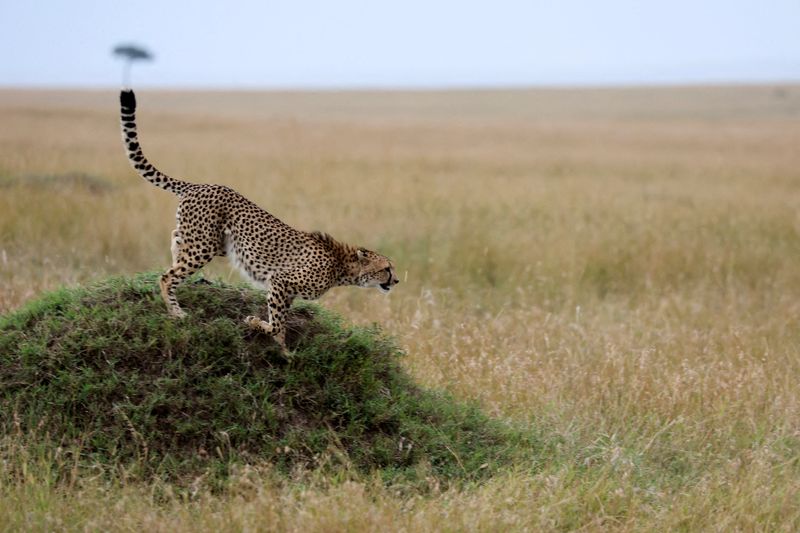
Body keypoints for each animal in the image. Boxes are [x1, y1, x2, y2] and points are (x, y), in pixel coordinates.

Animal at [119, 89, 400, 350]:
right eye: (386, 268)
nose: (396, 281)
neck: (342, 267)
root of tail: (200, 185)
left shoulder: (286, 291)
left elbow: (281, 322)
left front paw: (282, 347)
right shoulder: (280, 281)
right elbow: (276, 322)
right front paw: (261, 328)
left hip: (214, 242)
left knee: (176, 239)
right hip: (205, 246)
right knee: (167, 277)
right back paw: (176, 311)